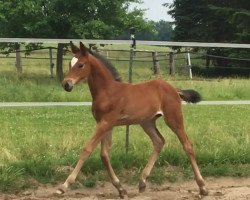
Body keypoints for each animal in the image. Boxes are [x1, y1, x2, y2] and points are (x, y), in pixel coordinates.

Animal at [57, 41, 208, 197]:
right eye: (70, 63)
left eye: (81, 65)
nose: (66, 84)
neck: (108, 91)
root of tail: (174, 89)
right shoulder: (104, 124)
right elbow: (104, 155)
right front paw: (120, 189)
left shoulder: (105, 123)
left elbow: (87, 149)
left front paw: (63, 186)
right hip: (147, 122)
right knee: (159, 141)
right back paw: (142, 182)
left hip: (173, 119)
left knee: (187, 145)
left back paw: (202, 187)